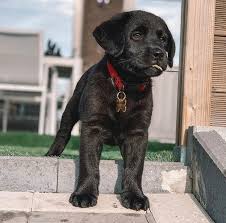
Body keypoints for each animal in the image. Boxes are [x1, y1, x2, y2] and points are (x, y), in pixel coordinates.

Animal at [46, 10, 176, 211]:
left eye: (163, 39)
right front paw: (84, 193)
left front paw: (135, 196)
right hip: (71, 107)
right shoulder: (92, 127)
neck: (126, 86)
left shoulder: (138, 133)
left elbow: (135, 166)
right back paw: (52, 153)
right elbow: (89, 164)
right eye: (136, 35)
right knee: (63, 132)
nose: (159, 53)